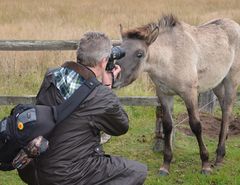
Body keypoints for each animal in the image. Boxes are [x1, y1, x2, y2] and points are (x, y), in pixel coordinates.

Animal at [114, 15, 240, 175]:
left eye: (139, 54)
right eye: (119, 51)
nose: (114, 79)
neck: (171, 56)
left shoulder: (189, 93)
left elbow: (196, 125)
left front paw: (205, 164)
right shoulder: (164, 95)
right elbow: (168, 125)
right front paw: (165, 165)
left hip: (231, 81)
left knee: (228, 110)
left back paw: (218, 157)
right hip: (217, 84)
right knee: (224, 109)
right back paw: (220, 151)